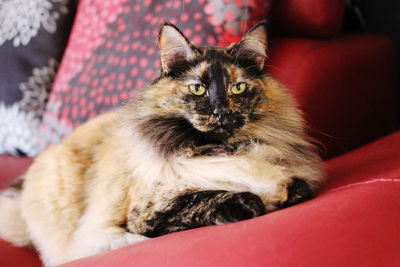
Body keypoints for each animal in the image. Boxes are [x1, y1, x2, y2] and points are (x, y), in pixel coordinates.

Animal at [0, 22, 324, 266]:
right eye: (198, 89)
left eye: (238, 88)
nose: (220, 111)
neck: (218, 150)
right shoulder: (148, 208)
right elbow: (206, 197)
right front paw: (254, 201)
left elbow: (298, 187)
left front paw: (280, 194)